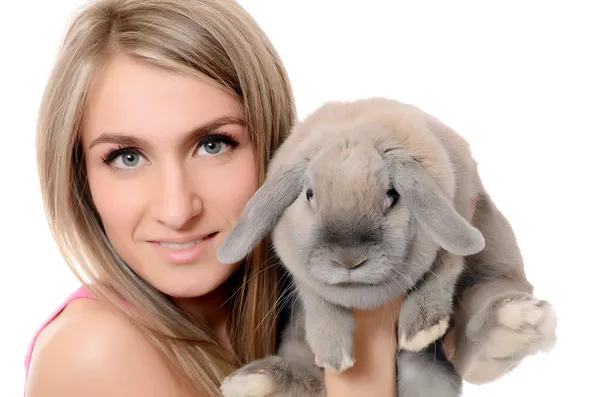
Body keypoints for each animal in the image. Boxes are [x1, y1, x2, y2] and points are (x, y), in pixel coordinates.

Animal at [216, 96, 556, 396]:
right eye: (309, 195)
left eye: (392, 196)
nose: (348, 260)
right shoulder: (301, 275)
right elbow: (317, 298)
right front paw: (333, 354)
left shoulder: (460, 212)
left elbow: (442, 270)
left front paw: (421, 329)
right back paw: (256, 382)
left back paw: (517, 323)